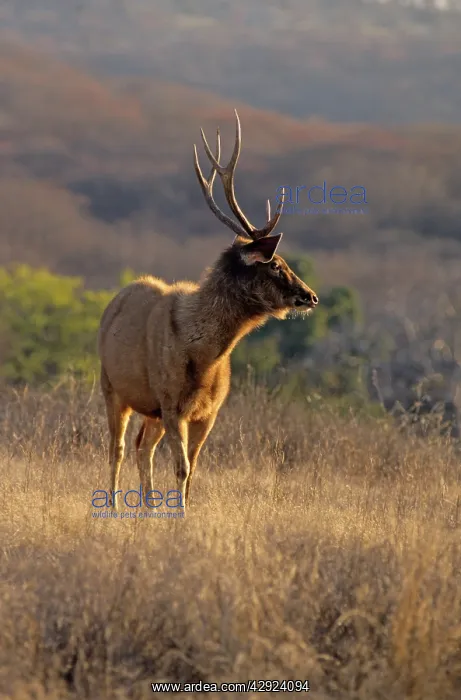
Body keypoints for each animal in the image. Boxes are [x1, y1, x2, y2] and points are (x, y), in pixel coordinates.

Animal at [97, 110, 318, 513]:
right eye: (276, 265)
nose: (311, 296)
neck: (203, 356)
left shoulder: (207, 411)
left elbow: (193, 468)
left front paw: (180, 513)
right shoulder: (171, 403)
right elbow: (182, 468)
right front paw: (179, 517)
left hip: (150, 409)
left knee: (141, 448)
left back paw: (148, 508)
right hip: (112, 386)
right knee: (117, 448)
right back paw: (115, 506)